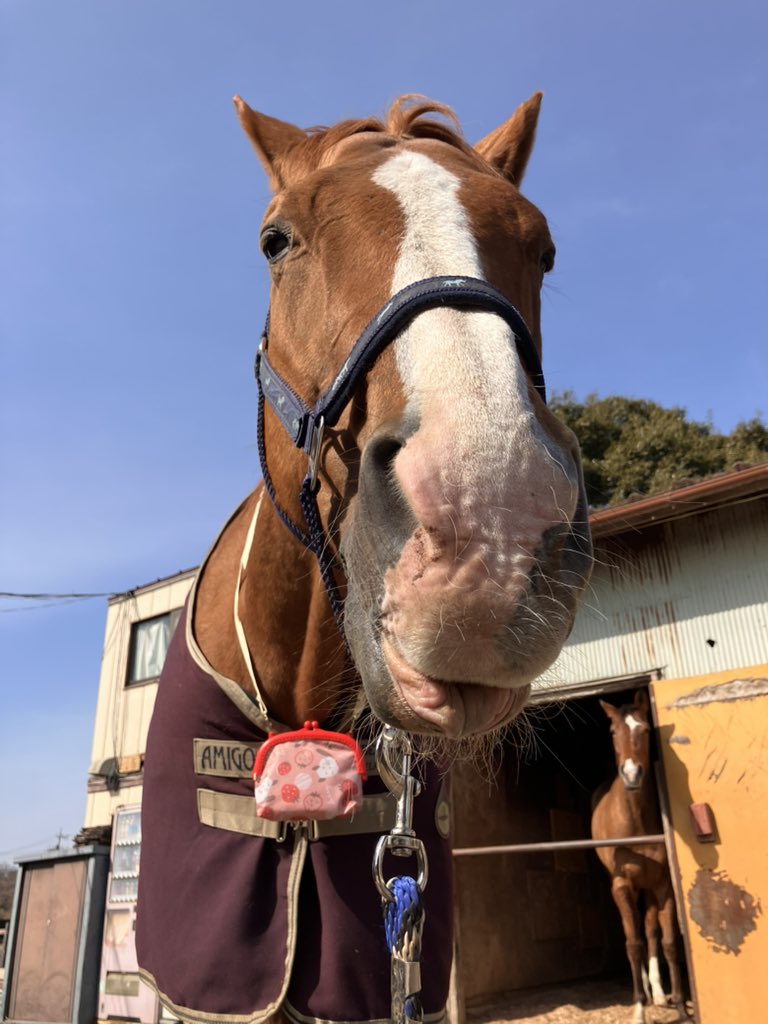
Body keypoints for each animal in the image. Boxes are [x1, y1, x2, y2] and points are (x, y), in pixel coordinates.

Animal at [592, 691, 686, 1023]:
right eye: (613, 732)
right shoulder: (621, 885)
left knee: (650, 931)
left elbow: (668, 942)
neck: (634, 823)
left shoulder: (663, 885)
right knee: (633, 933)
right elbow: (632, 944)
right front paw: (638, 1009)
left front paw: (680, 1006)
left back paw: (656, 991)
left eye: (645, 730)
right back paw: (644, 990)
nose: (632, 775)